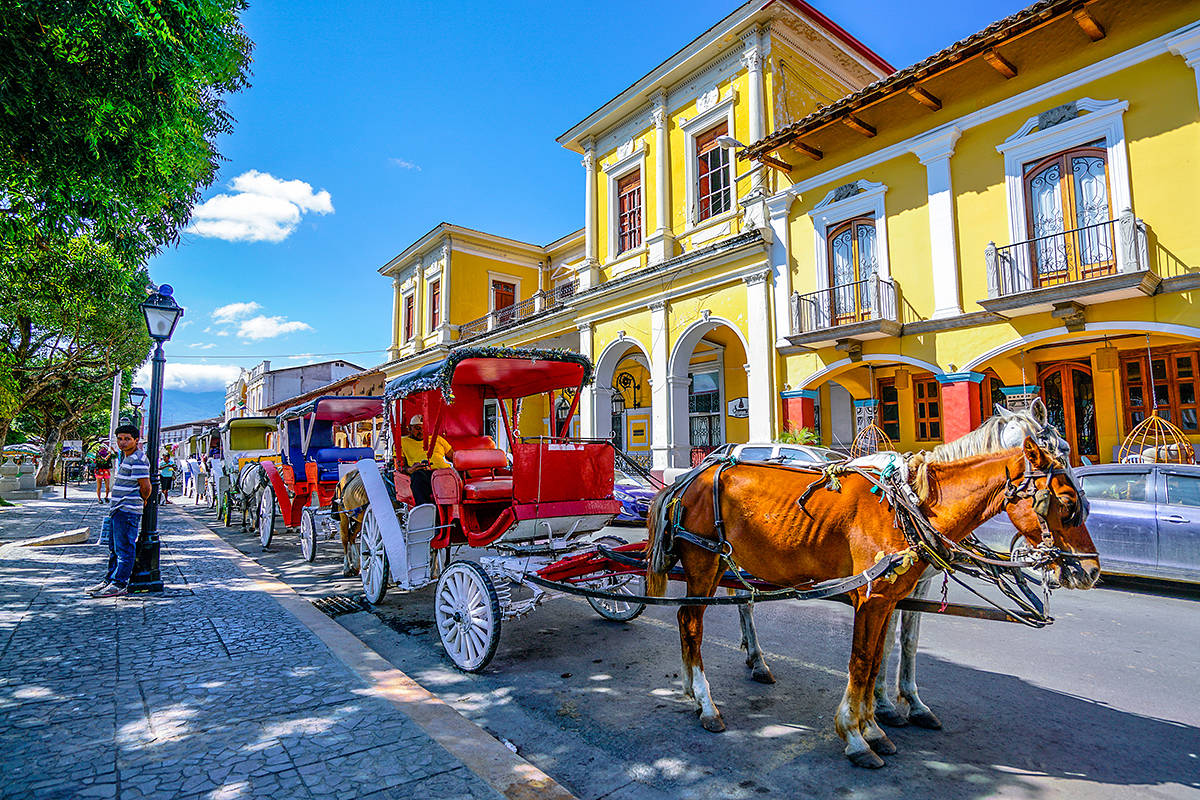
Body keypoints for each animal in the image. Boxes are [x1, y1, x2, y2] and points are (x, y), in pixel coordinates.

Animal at [652, 438, 1094, 767]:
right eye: (1069, 505)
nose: (1090, 570)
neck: (911, 508)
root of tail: (689, 478)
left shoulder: (890, 599)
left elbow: (882, 655)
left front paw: (875, 727)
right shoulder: (873, 597)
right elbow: (863, 661)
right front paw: (855, 735)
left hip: (721, 565)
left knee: (702, 615)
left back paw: (701, 687)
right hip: (704, 563)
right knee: (691, 621)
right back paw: (707, 703)